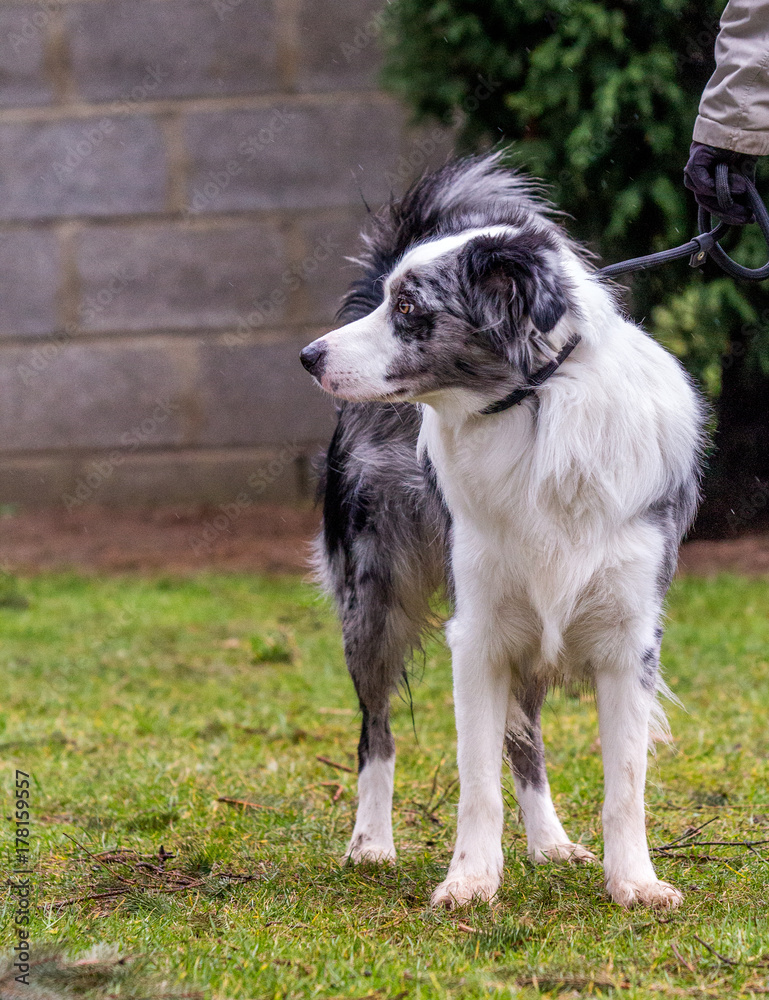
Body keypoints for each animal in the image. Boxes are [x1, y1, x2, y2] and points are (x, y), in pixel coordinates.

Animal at [296, 152, 704, 912]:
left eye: (408, 308)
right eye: (389, 301)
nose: (308, 356)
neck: (536, 411)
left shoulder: (625, 637)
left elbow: (623, 784)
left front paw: (633, 883)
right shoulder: (479, 632)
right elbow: (475, 779)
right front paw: (470, 881)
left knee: (526, 741)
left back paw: (550, 843)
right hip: (375, 603)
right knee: (376, 732)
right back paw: (371, 843)